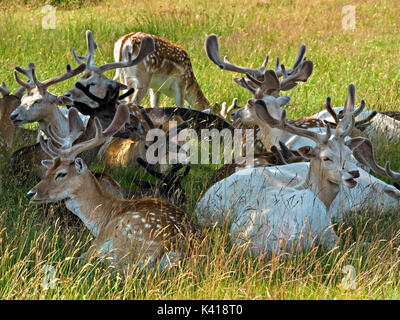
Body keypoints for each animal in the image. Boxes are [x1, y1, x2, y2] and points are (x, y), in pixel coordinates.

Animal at [27, 104, 199, 270]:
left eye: (61, 174)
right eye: (48, 171)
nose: (31, 193)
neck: (104, 216)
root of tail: (175, 246)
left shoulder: (99, 240)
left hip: (123, 239)